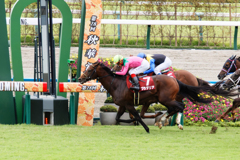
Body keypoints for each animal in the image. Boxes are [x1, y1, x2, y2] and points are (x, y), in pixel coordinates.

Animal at [79, 61, 223, 132]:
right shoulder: (123, 105)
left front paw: (146, 127)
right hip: (166, 99)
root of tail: (176, 80)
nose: (80, 79)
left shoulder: (129, 104)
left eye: (89, 69)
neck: (116, 84)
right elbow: (118, 117)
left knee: (180, 107)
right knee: (175, 108)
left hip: (167, 98)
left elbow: (137, 116)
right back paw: (163, 120)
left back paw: (173, 123)